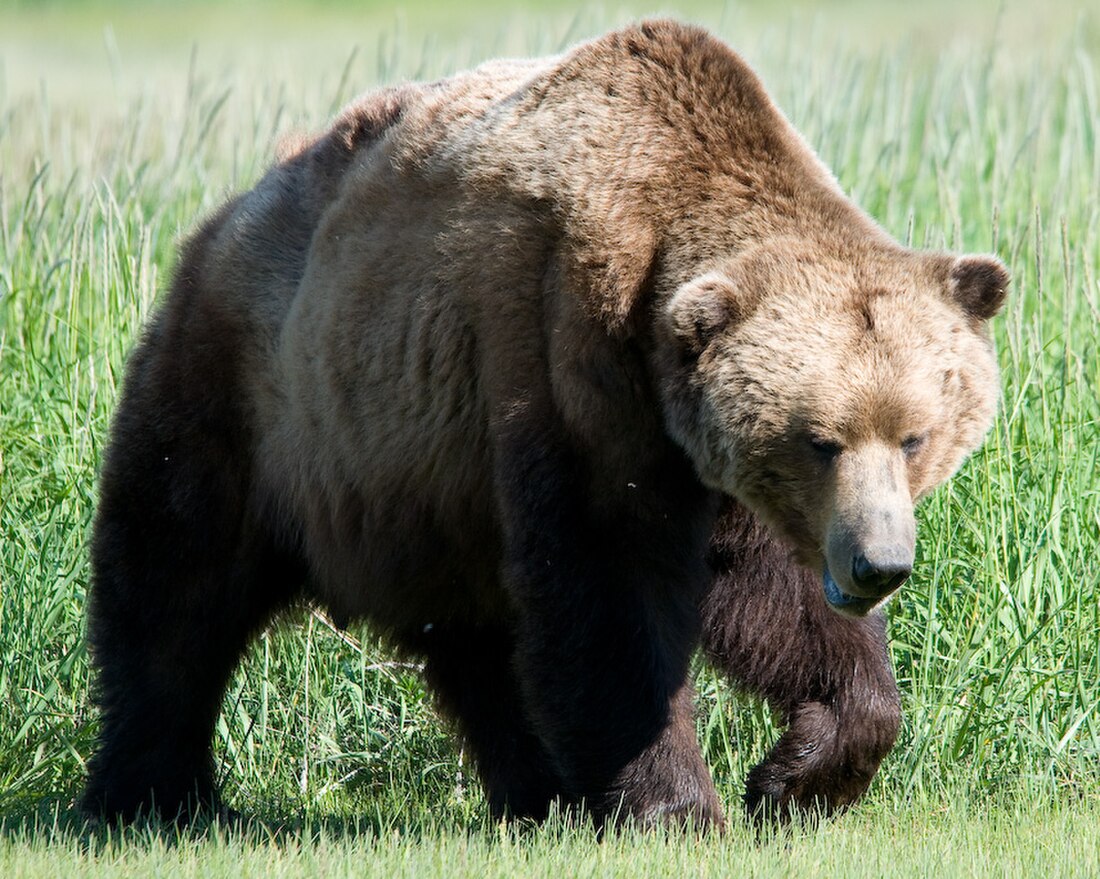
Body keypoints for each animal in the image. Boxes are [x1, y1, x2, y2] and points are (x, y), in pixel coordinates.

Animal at [81, 22, 1007, 831]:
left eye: (915, 435)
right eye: (819, 441)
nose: (878, 564)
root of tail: (226, 215)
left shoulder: (708, 461)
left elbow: (776, 600)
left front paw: (797, 774)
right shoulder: (568, 359)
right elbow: (609, 587)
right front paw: (678, 806)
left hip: (428, 490)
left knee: (477, 644)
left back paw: (536, 791)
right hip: (256, 398)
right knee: (174, 587)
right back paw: (154, 793)